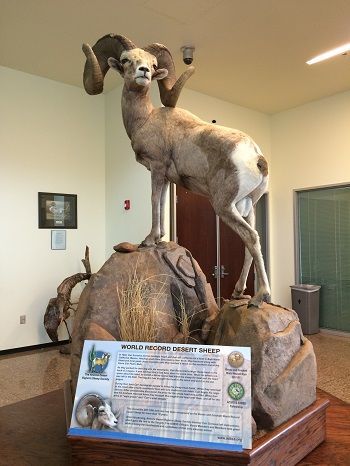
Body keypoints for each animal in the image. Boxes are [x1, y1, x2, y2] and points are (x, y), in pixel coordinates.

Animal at [82, 34, 270, 308]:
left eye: (151, 63)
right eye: (127, 60)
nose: (144, 72)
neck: (145, 120)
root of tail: (256, 156)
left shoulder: (157, 169)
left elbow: (153, 201)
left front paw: (149, 240)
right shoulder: (168, 180)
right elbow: (161, 203)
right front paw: (160, 238)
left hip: (224, 206)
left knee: (252, 238)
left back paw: (260, 297)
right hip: (248, 206)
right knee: (250, 241)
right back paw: (238, 293)